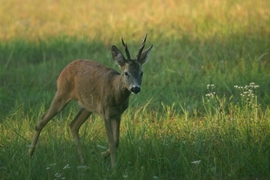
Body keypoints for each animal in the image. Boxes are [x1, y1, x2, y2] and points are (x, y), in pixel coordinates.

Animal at [29, 34, 153, 169]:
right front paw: (113, 167)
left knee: (73, 125)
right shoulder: (105, 112)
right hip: (62, 92)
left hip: (87, 106)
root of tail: (66, 67)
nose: (135, 88)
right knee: (42, 120)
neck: (115, 94)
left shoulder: (118, 114)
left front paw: (100, 156)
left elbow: (116, 142)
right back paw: (30, 154)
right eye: (126, 73)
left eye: (141, 73)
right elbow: (111, 142)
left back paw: (83, 162)